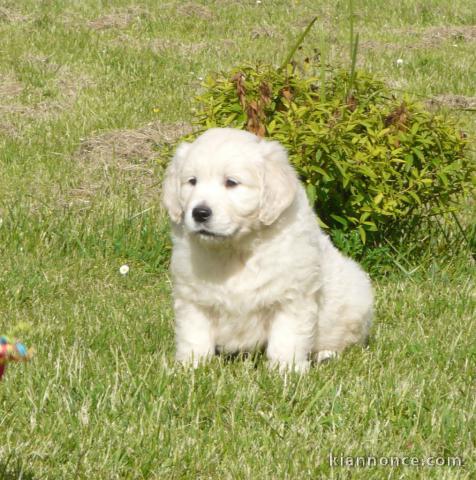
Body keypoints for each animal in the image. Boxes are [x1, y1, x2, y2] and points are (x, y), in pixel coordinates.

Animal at [162, 127, 374, 372]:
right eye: (192, 181)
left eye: (231, 182)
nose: (199, 213)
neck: (235, 249)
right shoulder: (193, 297)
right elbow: (194, 336)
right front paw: (191, 367)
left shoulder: (291, 296)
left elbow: (287, 338)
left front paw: (286, 370)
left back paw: (326, 355)